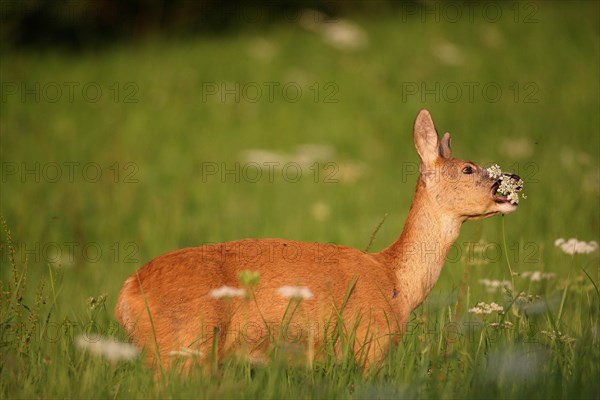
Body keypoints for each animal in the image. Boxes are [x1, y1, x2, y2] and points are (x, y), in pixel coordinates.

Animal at [116, 108, 520, 368]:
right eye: (468, 168)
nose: (512, 179)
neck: (396, 283)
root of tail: (127, 293)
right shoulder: (369, 342)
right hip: (185, 343)